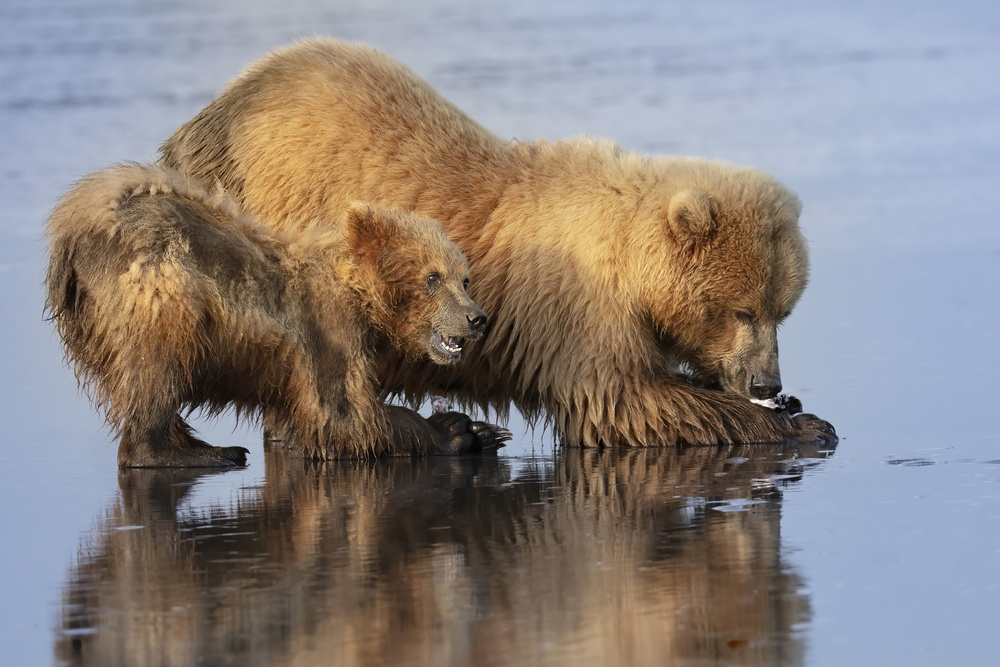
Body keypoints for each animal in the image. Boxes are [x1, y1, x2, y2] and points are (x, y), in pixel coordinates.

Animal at [44, 162, 512, 468]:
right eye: (433, 277)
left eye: (464, 278)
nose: (477, 318)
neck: (364, 297)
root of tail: (75, 228)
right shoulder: (329, 328)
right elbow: (343, 416)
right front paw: (457, 430)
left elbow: (293, 422)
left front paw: (484, 431)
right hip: (159, 286)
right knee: (156, 366)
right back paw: (205, 452)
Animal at [162, 40, 836, 448]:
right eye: (742, 310)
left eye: (783, 310)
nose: (766, 382)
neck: (634, 270)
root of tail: (207, 119)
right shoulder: (579, 303)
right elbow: (625, 399)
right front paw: (804, 424)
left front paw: (789, 404)